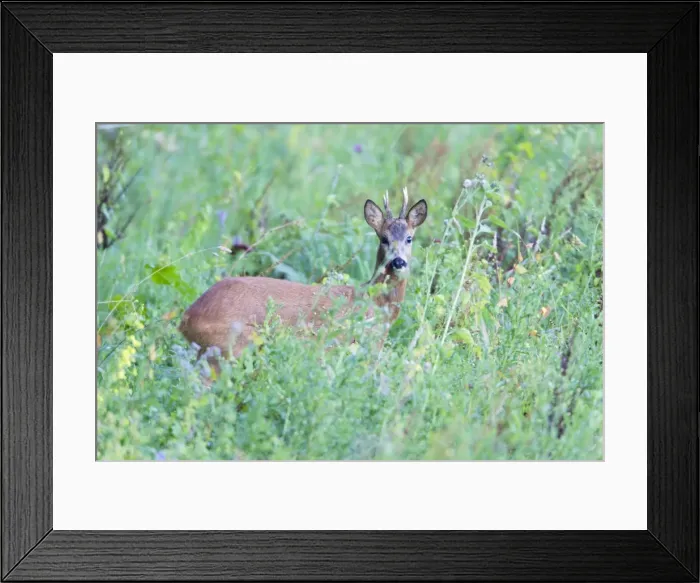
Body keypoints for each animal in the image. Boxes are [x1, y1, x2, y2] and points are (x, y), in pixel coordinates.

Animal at [178, 188, 428, 379]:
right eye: (384, 238)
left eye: (409, 238)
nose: (398, 262)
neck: (377, 304)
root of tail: (186, 318)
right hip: (228, 347)